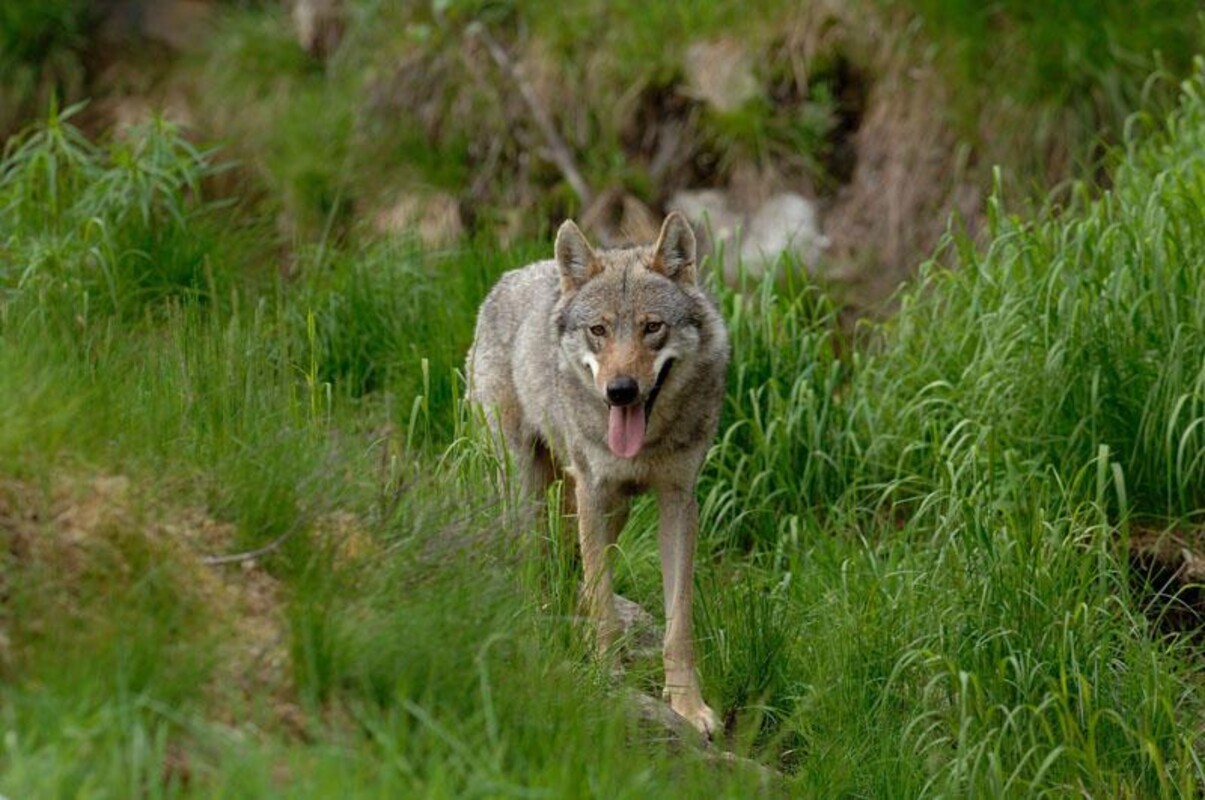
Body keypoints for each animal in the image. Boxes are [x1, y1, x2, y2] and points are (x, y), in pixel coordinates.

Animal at [467, 212, 730, 737]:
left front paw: (688, 707)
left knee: (571, 569)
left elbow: (678, 623)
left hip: (611, 509)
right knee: (534, 564)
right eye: (599, 330)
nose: (620, 390)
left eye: (652, 328)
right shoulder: (593, 490)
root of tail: (508, 277)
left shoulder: (677, 500)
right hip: (528, 492)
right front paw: (607, 679)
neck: (646, 444)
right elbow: (605, 605)